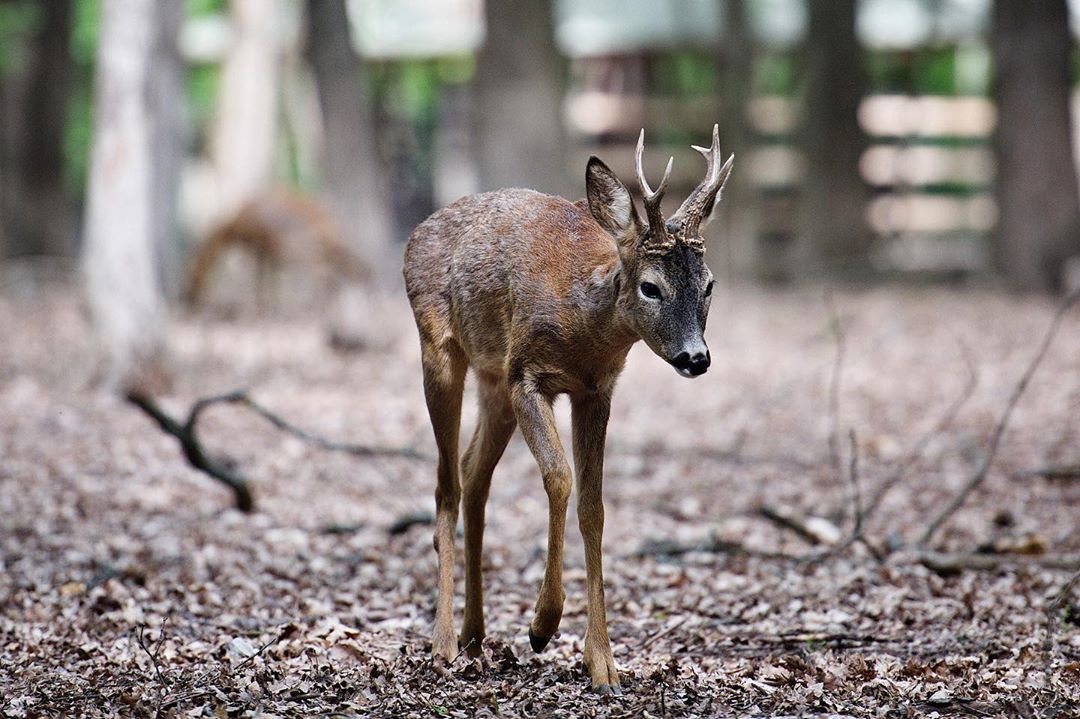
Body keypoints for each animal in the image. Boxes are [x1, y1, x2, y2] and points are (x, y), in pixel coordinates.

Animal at [406, 125, 734, 690]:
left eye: (709, 284)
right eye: (651, 286)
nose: (696, 357)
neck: (586, 329)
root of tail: (416, 233)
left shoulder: (596, 391)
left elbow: (593, 507)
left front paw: (602, 662)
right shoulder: (526, 375)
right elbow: (559, 477)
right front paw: (542, 625)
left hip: (492, 381)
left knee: (473, 474)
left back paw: (475, 633)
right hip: (440, 350)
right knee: (446, 484)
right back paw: (444, 642)